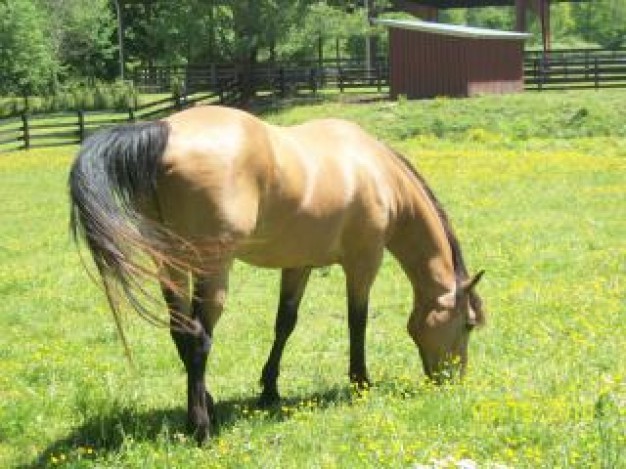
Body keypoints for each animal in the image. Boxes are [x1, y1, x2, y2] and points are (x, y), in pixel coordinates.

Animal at [70, 105, 486, 442]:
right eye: (467, 324)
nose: (453, 381)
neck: (376, 173)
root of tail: (162, 131)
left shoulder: (298, 264)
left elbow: (285, 322)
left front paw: (269, 389)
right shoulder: (363, 263)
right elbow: (358, 322)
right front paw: (360, 381)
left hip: (170, 263)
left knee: (181, 332)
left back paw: (208, 405)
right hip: (213, 268)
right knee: (200, 337)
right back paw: (201, 427)